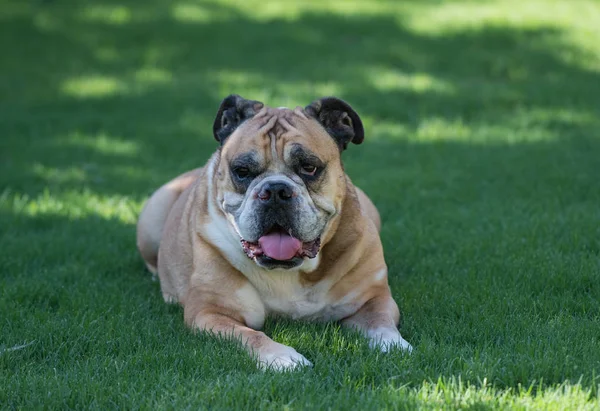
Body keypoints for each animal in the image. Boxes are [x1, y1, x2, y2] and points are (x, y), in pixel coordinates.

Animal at [137, 96, 412, 370]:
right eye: (242, 171)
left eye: (309, 167)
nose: (276, 190)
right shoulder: (210, 312)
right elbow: (249, 335)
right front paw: (281, 356)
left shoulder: (373, 298)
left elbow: (380, 323)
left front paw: (394, 345)